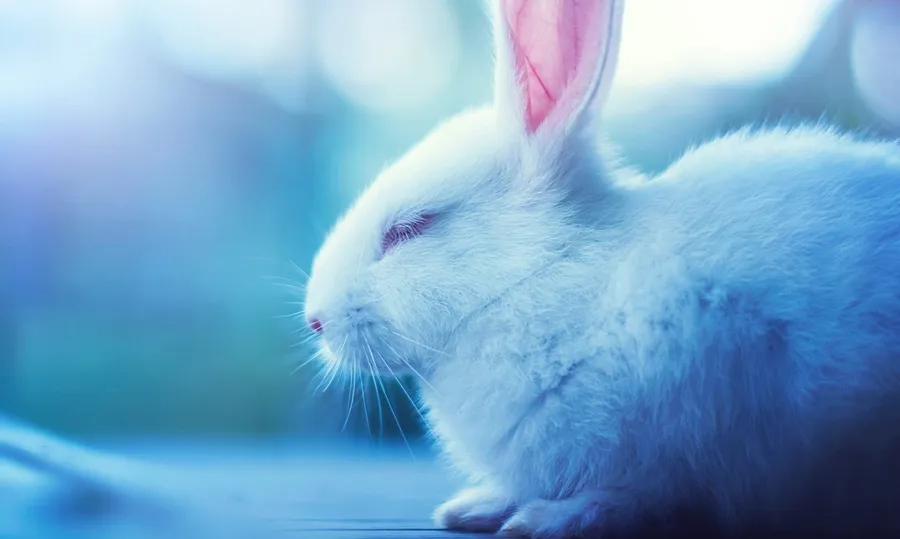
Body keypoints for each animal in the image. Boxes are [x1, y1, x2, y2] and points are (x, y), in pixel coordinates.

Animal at [303, 0, 900, 537]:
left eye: (412, 227)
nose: (314, 320)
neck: (536, 279)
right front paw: (474, 507)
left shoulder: (699, 430)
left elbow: (647, 498)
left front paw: (548, 520)